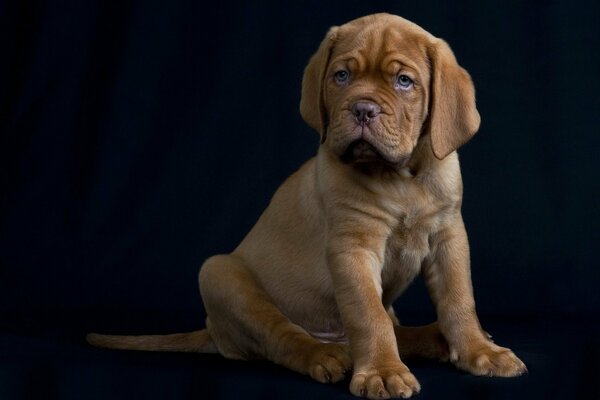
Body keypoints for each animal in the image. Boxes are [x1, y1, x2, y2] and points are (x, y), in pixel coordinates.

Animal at [88, 13, 524, 400]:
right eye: (342, 76)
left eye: (404, 81)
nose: (363, 109)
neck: (402, 179)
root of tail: (214, 332)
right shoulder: (352, 248)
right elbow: (368, 315)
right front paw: (382, 373)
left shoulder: (449, 237)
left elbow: (459, 300)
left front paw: (479, 351)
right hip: (220, 276)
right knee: (285, 339)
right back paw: (327, 356)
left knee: (394, 328)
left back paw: (433, 337)